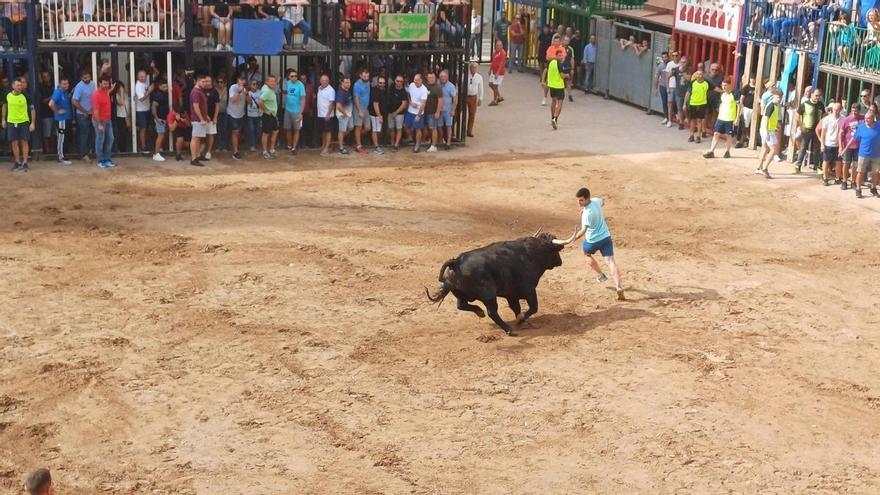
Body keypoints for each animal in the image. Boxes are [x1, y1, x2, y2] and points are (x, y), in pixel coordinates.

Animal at [426, 232, 576, 334]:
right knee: (492, 312)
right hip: (489, 295)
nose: (560, 261)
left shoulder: (511, 294)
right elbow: (533, 307)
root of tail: (456, 262)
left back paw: (480, 312)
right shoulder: (529, 288)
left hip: (460, 294)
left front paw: (522, 321)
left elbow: (517, 308)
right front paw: (521, 320)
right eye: (554, 250)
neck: (532, 253)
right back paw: (508, 329)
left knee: (461, 305)